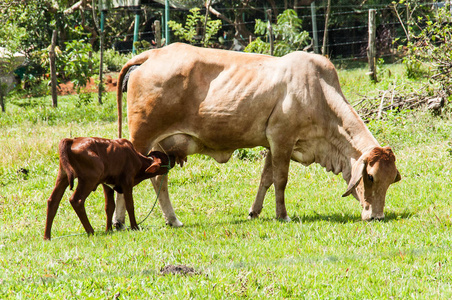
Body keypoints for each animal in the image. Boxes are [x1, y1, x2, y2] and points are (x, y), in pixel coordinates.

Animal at [44, 137, 174, 240]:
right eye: (165, 158)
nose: (172, 158)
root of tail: (72, 140)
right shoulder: (127, 181)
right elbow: (130, 205)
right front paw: (135, 227)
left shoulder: (106, 184)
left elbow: (110, 206)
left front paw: (108, 230)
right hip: (89, 179)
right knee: (76, 200)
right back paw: (91, 231)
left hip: (63, 176)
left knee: (53, 201)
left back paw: (47, 236)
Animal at [114, 42, 402, 227]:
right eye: (371, 177)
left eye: (391, 181)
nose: (377, 217)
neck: (319, 93)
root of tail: (152, 54)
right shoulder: (282, 139)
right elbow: (281, 180)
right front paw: (282, 215)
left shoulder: (273, 144)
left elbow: (266, 179)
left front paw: (255, 211)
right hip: (141, 139)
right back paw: (119, 221)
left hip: (162, 148)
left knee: (158, 180)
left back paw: (172, 220)